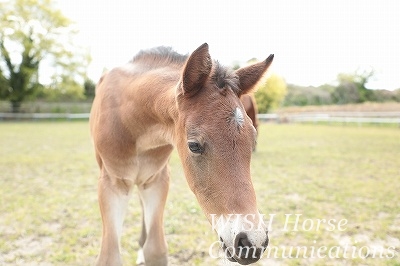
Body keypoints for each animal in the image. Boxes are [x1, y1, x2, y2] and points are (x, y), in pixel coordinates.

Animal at [89, 42, 274, 264]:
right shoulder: (112, 183)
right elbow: (110, 257)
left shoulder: (156, 179)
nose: (252, 243)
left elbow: (156, 250)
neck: (130, 120)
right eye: (193, 145)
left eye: (252, 139)